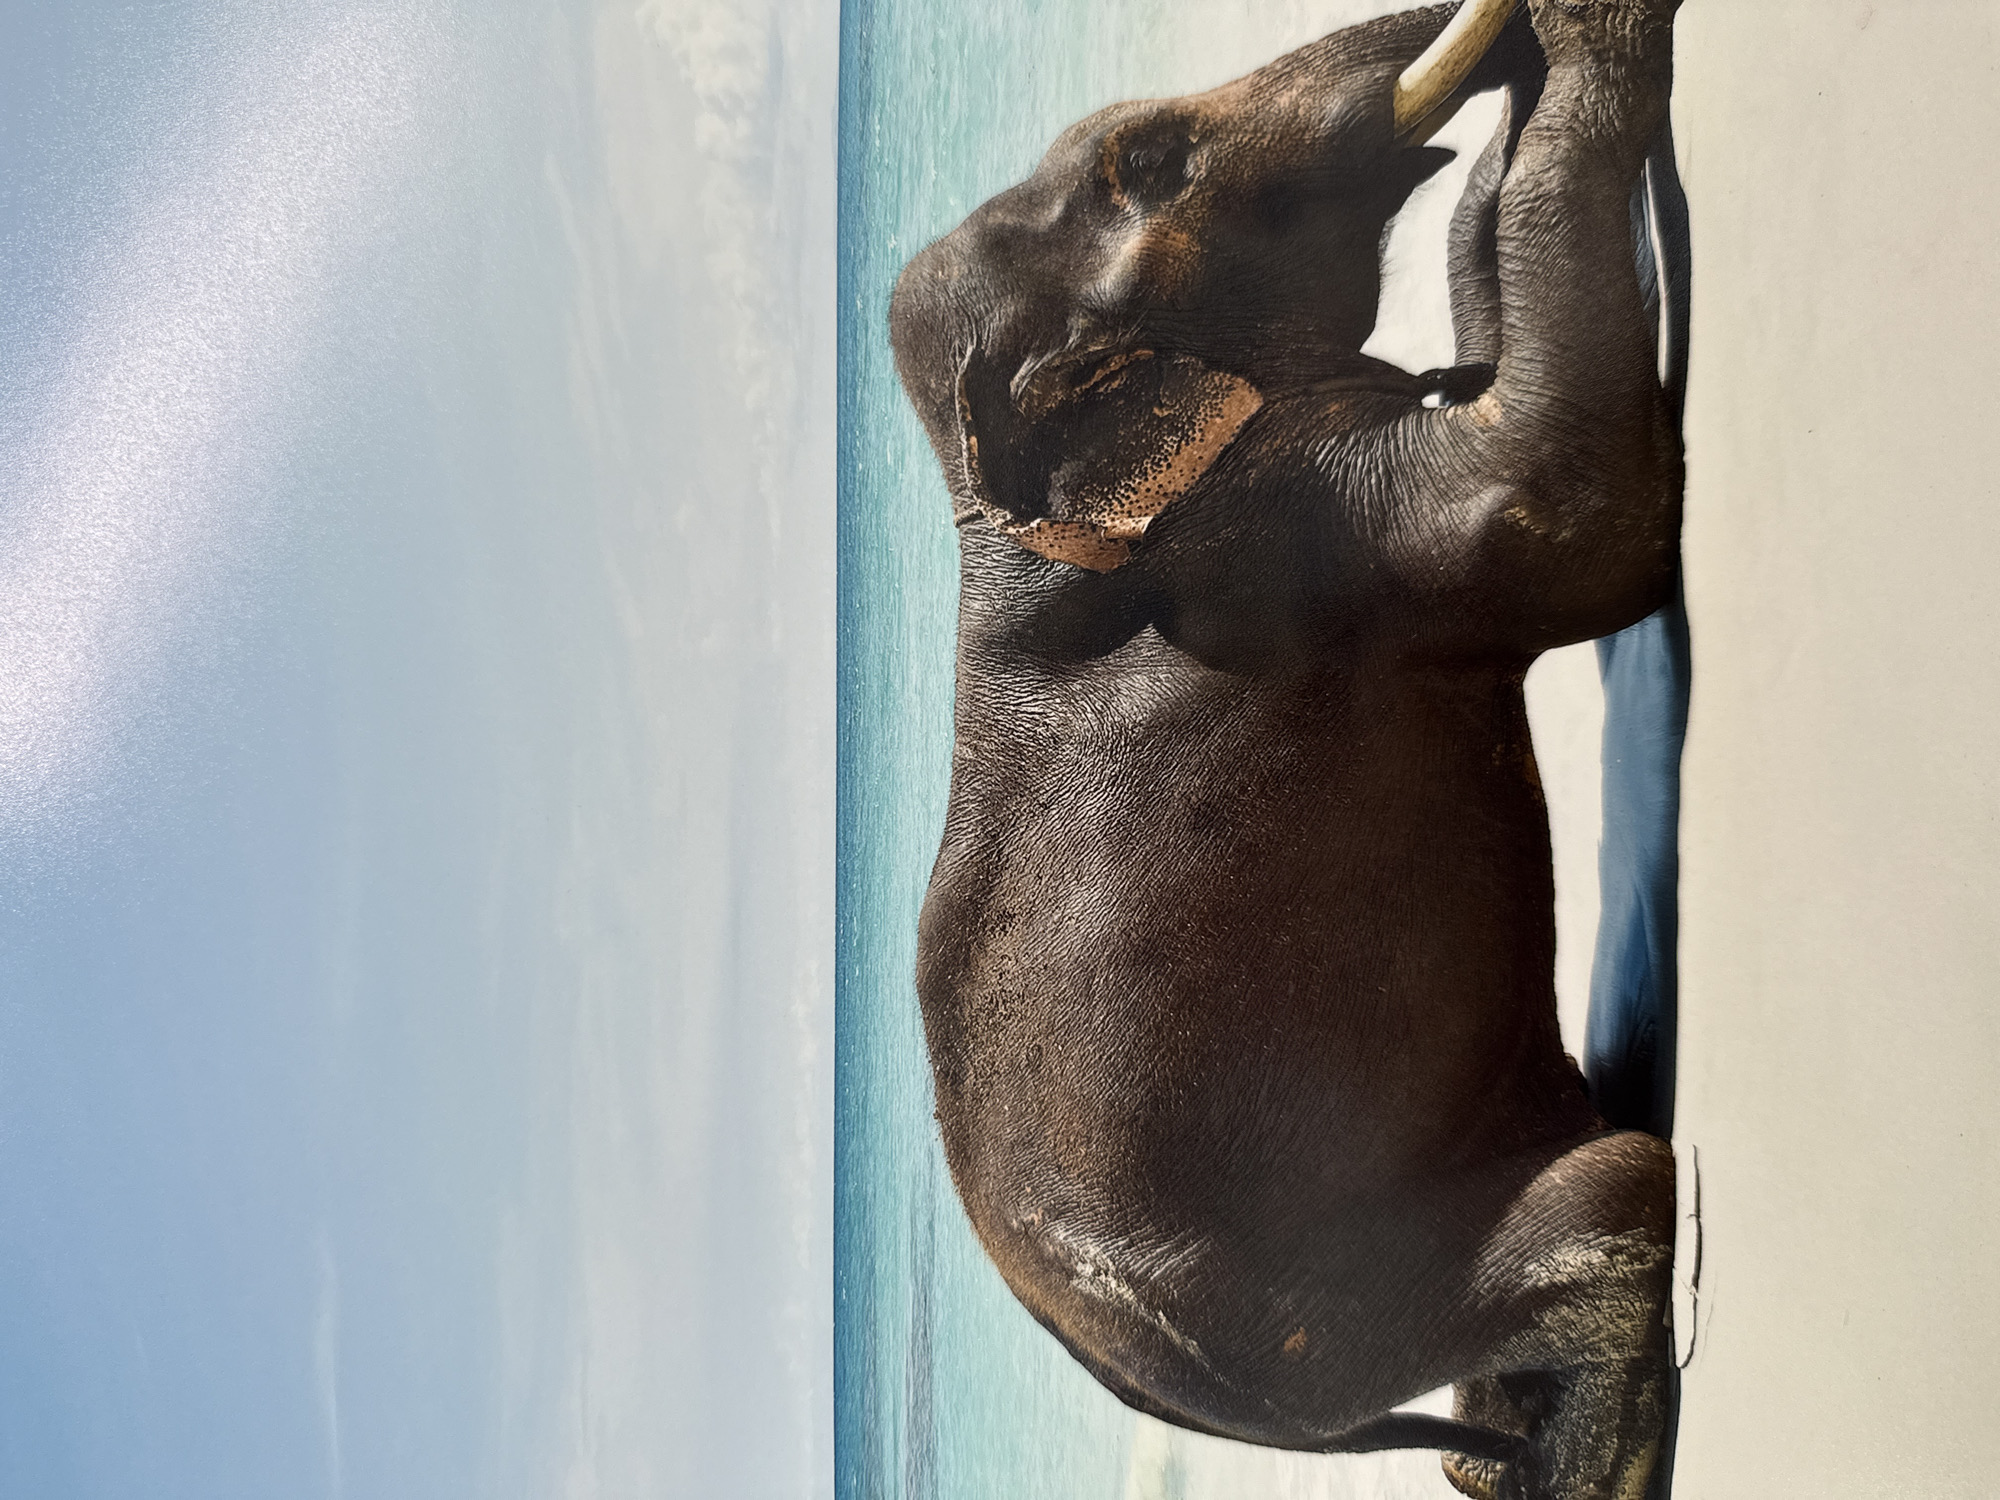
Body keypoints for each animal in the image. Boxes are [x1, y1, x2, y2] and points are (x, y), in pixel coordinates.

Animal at [887, 1, 1684, 1496]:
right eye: (1151, 160)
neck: (986, 504)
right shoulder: (1305, 527)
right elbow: (1570, 510)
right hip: (1331, 1293)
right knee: (1615, 1198)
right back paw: (1597, 1451)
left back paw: (1510, 1458)